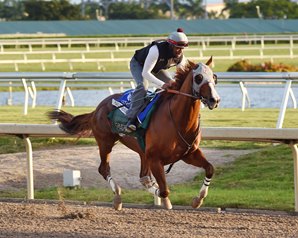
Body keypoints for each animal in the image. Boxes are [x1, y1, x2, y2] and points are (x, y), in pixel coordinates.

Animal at [49, 57, 220, 210]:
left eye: (214, 77)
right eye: (198, 77)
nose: (215, 99)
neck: (177, 120)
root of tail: (97, 109)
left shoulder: (189, 153)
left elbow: (210, 168)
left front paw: (198, 200)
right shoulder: (155, 159)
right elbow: (164, 190)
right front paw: (164, 199)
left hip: (141, 151)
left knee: (141, 176)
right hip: (105, 142)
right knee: (104, 169)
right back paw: (117, 197)